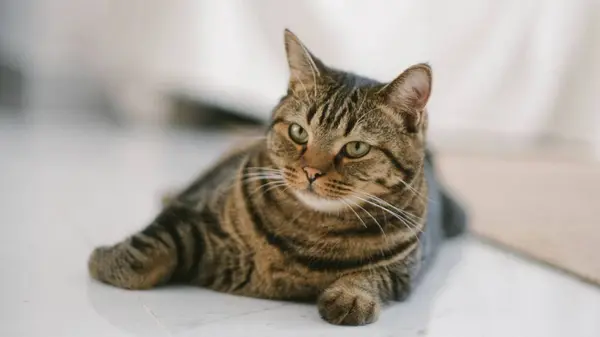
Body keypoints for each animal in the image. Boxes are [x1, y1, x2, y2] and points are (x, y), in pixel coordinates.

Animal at [89, 29, 466, 326]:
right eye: (299, 132)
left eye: (356, 148)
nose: (311, 171)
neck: (311, 231)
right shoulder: (195, 207)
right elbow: (147, 246)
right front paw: (106, 261)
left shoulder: (405, 271)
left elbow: (373, 276)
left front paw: (352, 296)